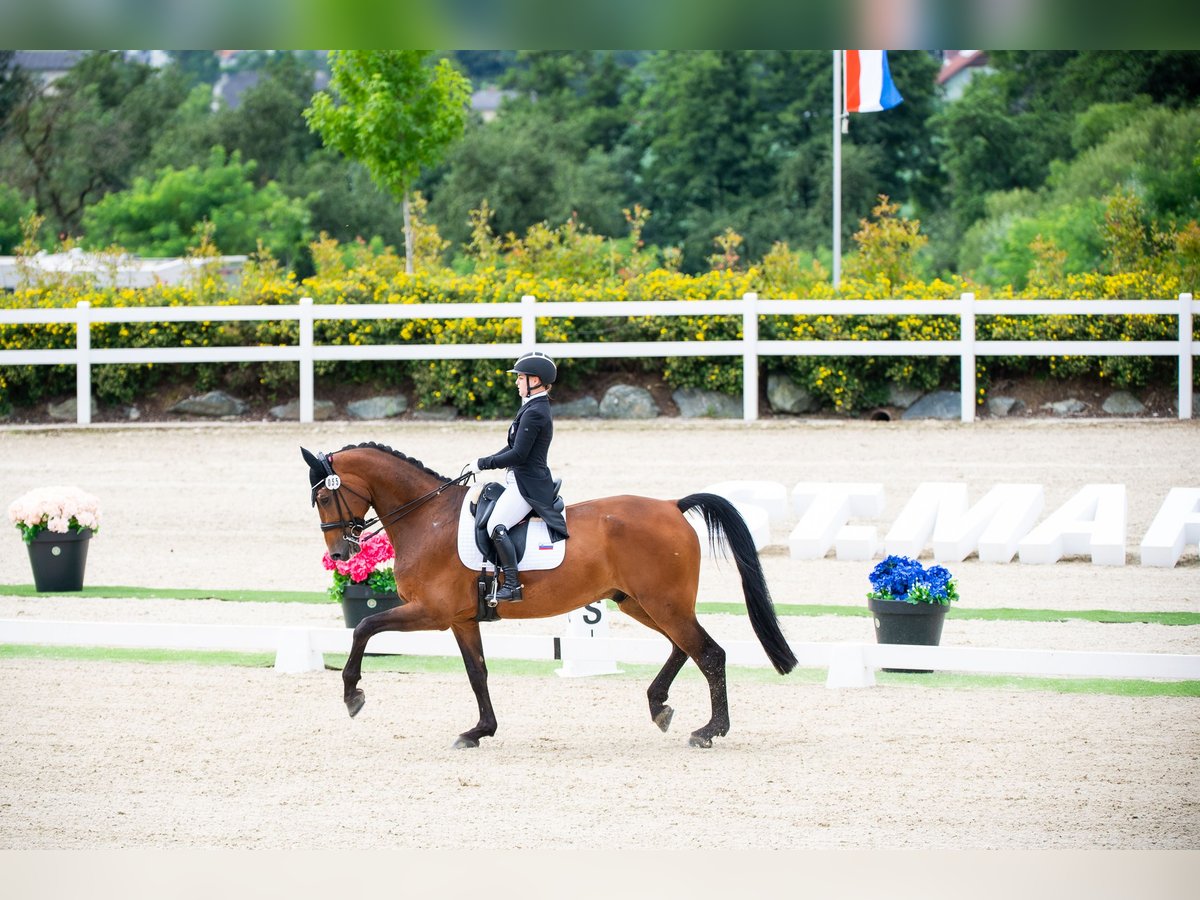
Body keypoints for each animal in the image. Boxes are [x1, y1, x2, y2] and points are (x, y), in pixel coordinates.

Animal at [297, 441, 796, 748]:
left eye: (323, 498)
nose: (341, 553)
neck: (428, 519)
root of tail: (672, 506)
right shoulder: (461, 619)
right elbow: (477, 673)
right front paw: (480, 731)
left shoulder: (432, 612)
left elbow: (364, 626)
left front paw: (352, 695)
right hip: (640, 602)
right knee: (682, 647)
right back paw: (659, 706)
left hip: (662, 602)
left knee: (708, 653)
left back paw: (709, 730)